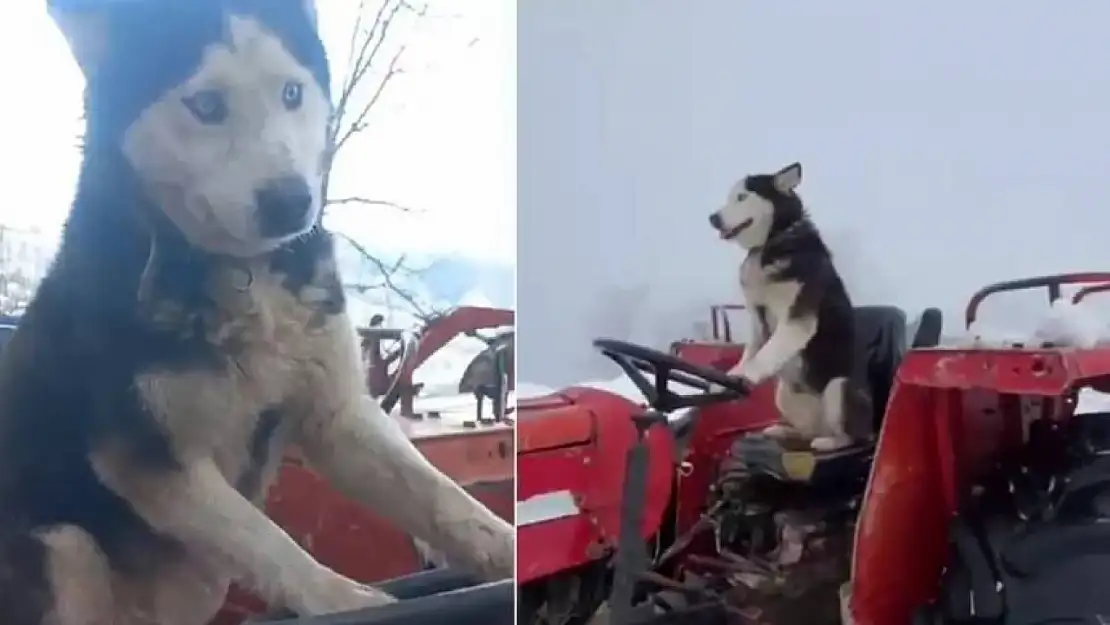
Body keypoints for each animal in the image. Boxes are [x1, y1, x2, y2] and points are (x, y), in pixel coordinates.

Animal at [0, 2, 510, 621]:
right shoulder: (144, 457)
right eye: (206, 105)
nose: (292, 201)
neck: (241, 272)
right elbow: (268, 543)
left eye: (291, 92)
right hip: (62, 548)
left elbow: (444, 498)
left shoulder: (337, 415)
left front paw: (516, 548)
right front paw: (352, 600)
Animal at [705, 164, 870, 452]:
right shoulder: (757, 317)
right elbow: (752, 351)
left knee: (848, 436)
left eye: (742, 197)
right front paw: (732, 375)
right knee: (805, 430)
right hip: (783, 394)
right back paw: (784, 431)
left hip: (839, 387)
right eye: (730, 198)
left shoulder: (796, 318)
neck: (772, 242)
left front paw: (747, 375)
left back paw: (829, 442)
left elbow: (764, 355)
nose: (713, 218)